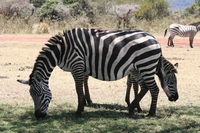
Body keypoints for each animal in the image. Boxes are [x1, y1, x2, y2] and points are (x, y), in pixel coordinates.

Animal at [16, 27, 178, 118]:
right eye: (31, 95)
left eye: (40, 94)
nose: (38, 116)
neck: (62, 49)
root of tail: (155, 39)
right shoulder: (77, 68)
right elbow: (80, 88)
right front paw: (82, 107)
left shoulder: (77, 64)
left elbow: (78, 89)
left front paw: (79, 111)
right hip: (138, 68)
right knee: (145, 88)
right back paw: (132, 109)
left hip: (146, 66)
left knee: (154, 89)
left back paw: (150, 113)